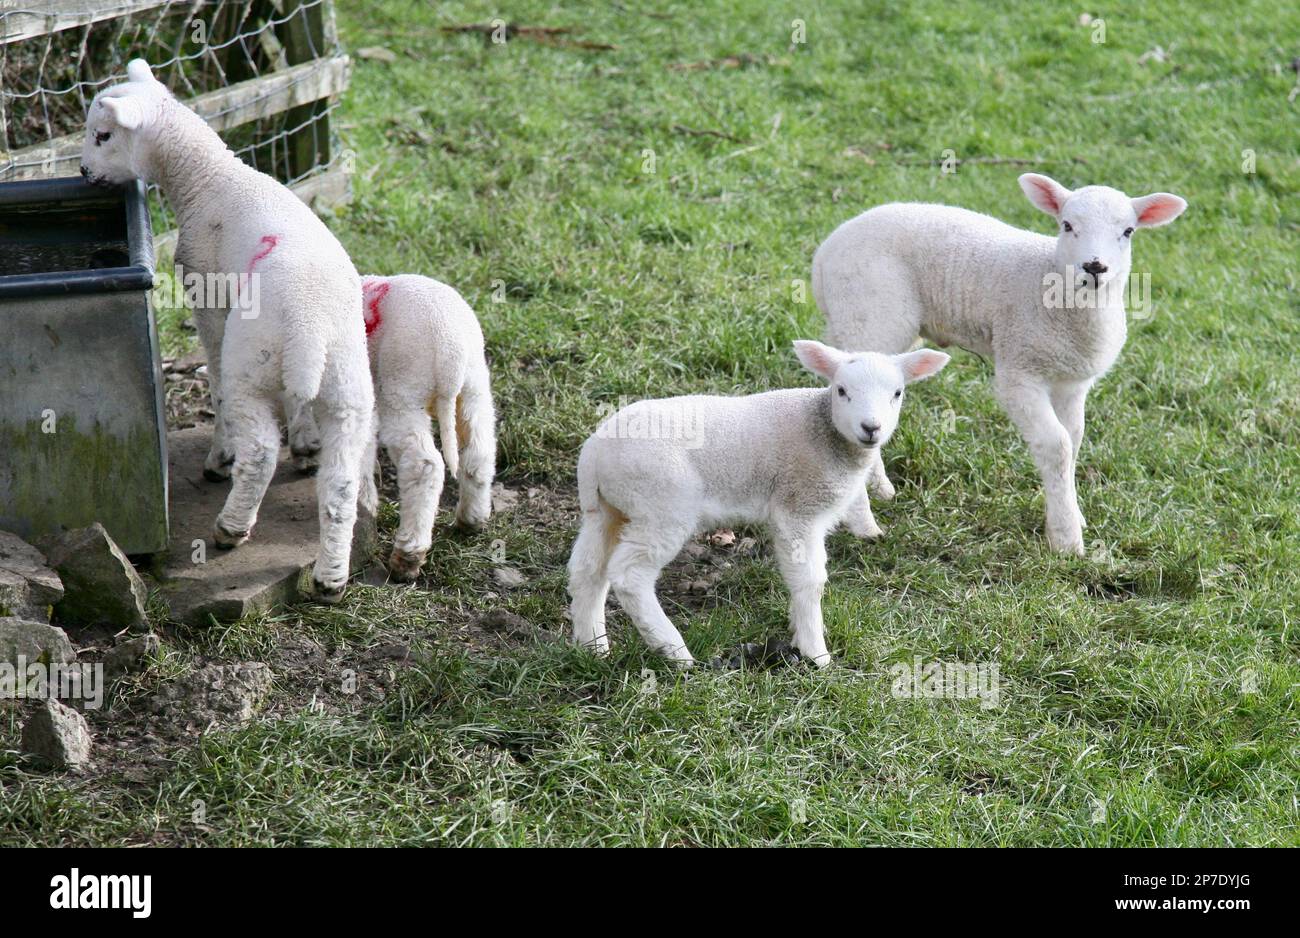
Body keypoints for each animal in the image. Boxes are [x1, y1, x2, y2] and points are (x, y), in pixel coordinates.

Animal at [80, 59, 374, 602]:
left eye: (103, 135)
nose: (86, 174)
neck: (208, 178)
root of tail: (310, 332)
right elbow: (300, 414)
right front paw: (306, 443)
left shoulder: (208, 297)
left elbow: (213, 378)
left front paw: (223, 452)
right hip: (346, 380)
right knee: (341, 479)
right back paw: (330, 578)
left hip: (252, 360)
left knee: (259, 451)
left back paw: (231, 524)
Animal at [359, 274, 497, 581]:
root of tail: (451, 353)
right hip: (474, 387)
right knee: (479, 452)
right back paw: (471, 520)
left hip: (403, 390)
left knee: (424, 466)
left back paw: (407, 556)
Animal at [566, 341, 950, 667]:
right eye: (842, 390)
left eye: (897, 393)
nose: (871, 428)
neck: (824, 430)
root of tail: (593, 454)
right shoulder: (797, 507)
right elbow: (810, 580)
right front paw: (816, 653)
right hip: (662, 504)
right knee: (630, 576)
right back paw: (676, 653)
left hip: (610, 509)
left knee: (587, 570)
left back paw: (593, 648)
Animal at [812, 174, 1187, 555]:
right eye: (1067, 225)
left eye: (1128, 231)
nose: (1095, 267)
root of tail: (825, 252)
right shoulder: (1019, 372)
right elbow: (1057, 445)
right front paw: (1066, 539)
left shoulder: (1072, 382)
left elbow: (1074, 439)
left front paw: (1070, 512)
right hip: (869, 317)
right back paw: (872, 493)